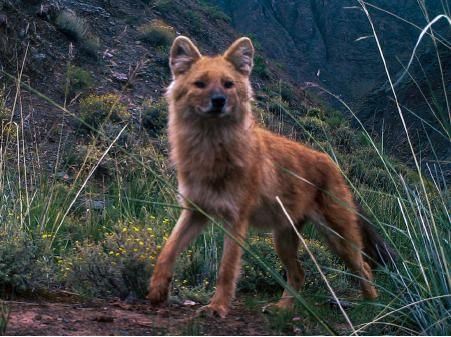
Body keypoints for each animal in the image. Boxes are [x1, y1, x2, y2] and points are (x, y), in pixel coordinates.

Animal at [147, 36, 392, 318]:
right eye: (200, 84)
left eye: (228, 84)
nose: (219, 100)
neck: (211, 150)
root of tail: (332, 163)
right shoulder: (195, 212)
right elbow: (167, 250)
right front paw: (157, 290)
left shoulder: (236, 220)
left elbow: (226, 269)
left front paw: (217, 307)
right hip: (283, 239)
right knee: (299, 274)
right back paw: (282, 308)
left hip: (338, 240)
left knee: (364, 267)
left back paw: (372, 307)